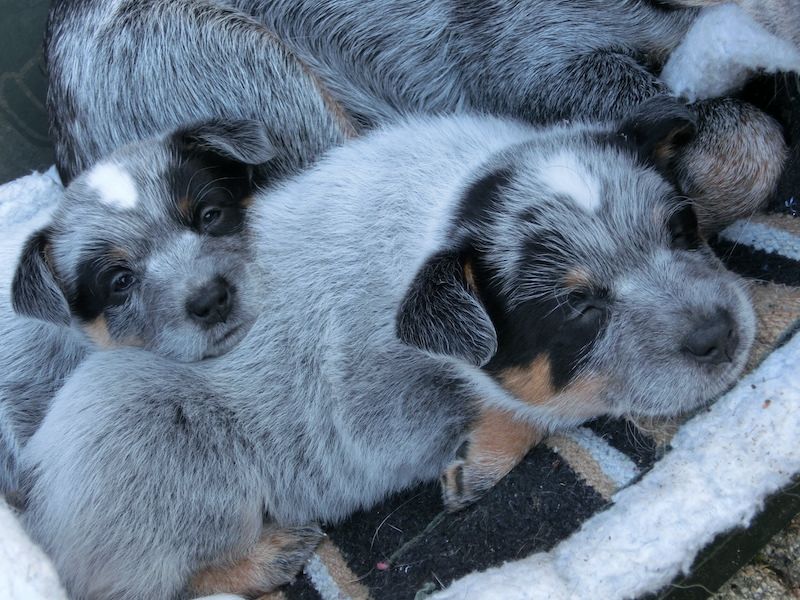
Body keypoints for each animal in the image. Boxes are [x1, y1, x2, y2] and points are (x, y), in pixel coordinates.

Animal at [20, 99, 756, 600]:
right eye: (581, 308)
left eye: (683, 228)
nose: (721, 336)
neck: (444, 210)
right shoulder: (379, 411)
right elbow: (533, 408)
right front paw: (479, 462)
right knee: (147, 583)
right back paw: (276, 552)